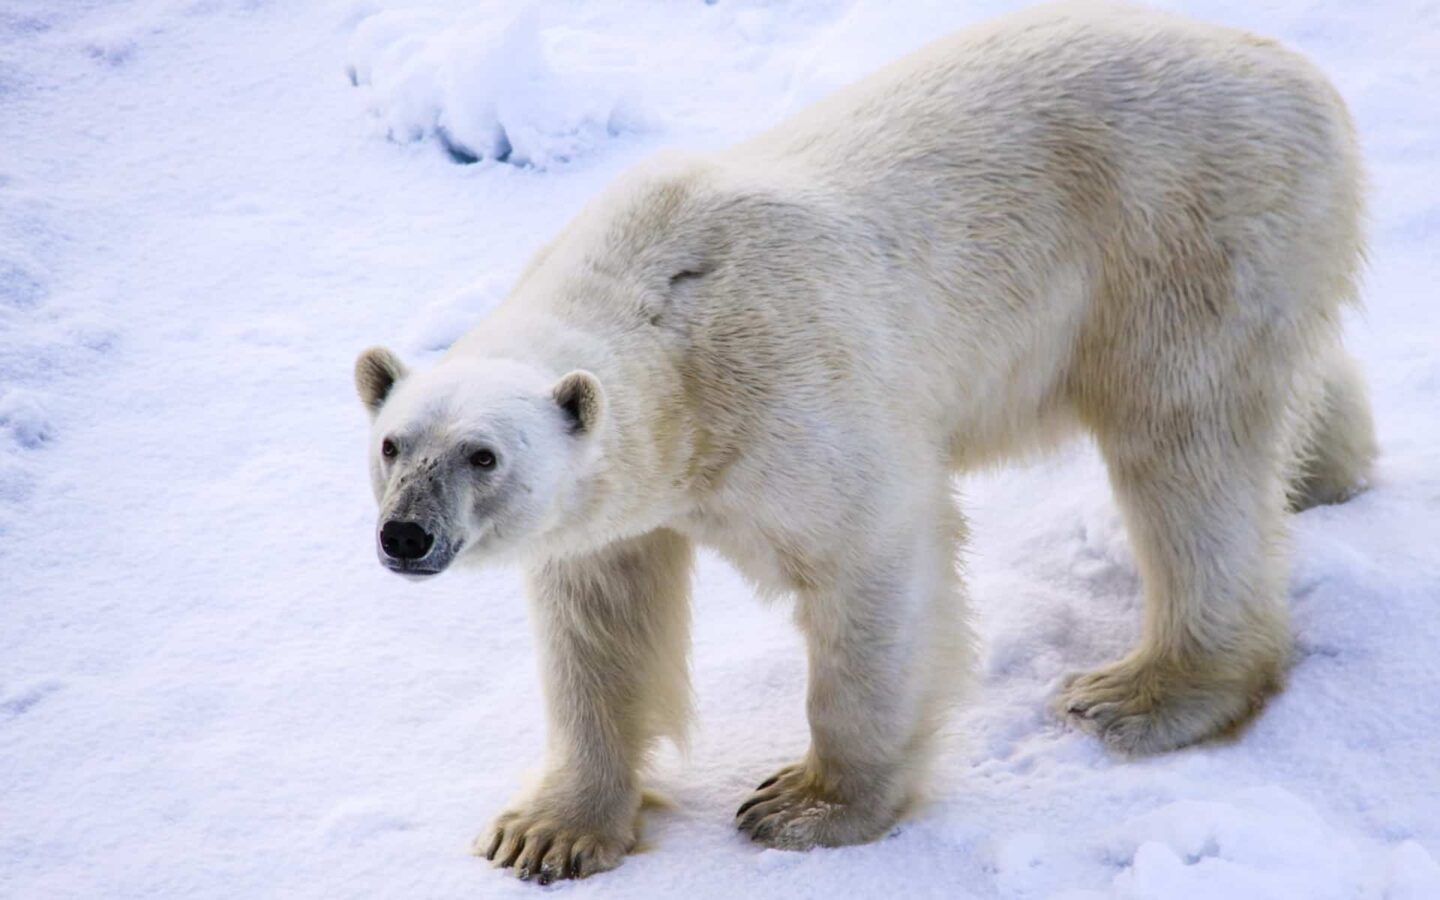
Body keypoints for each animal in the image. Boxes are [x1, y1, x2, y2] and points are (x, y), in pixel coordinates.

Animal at [353, 2, 1375, 883]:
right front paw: (546, 833)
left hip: (1184, 228)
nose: (406, 536)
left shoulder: (788, 393)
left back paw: (1146, 692)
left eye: (483, 455)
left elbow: (872, 564)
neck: (665, 318)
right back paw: (1327, 477)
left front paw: (805, 804)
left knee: (1186, 446)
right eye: (394, 445)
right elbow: (599, 622)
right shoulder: (628, 495)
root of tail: (1303, 77)